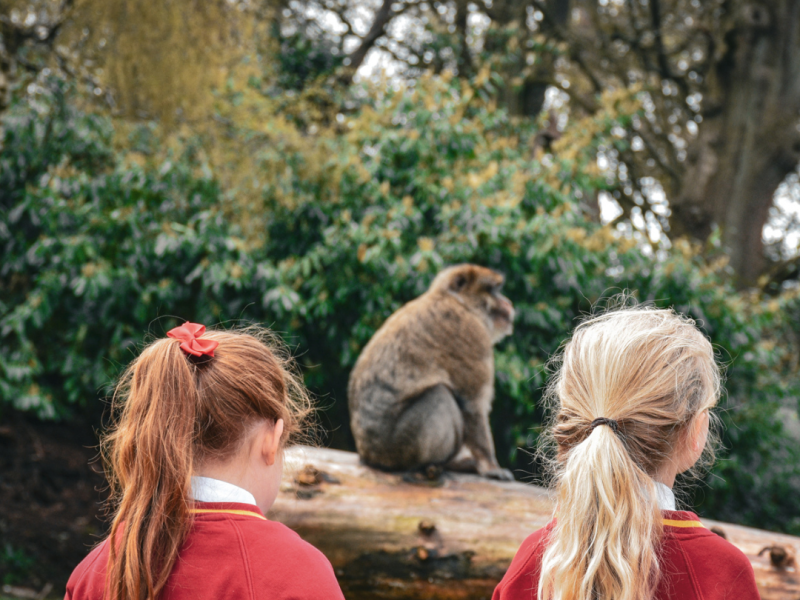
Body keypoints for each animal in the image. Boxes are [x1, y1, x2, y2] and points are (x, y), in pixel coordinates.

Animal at [348, 264, 515, 480]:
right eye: (493, 290)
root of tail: (368, 456)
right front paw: (490, 467)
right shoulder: (472, 335)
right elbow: (472, 405)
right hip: (401, 445)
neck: (459, 303)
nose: (508, 302)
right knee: (440, 395)